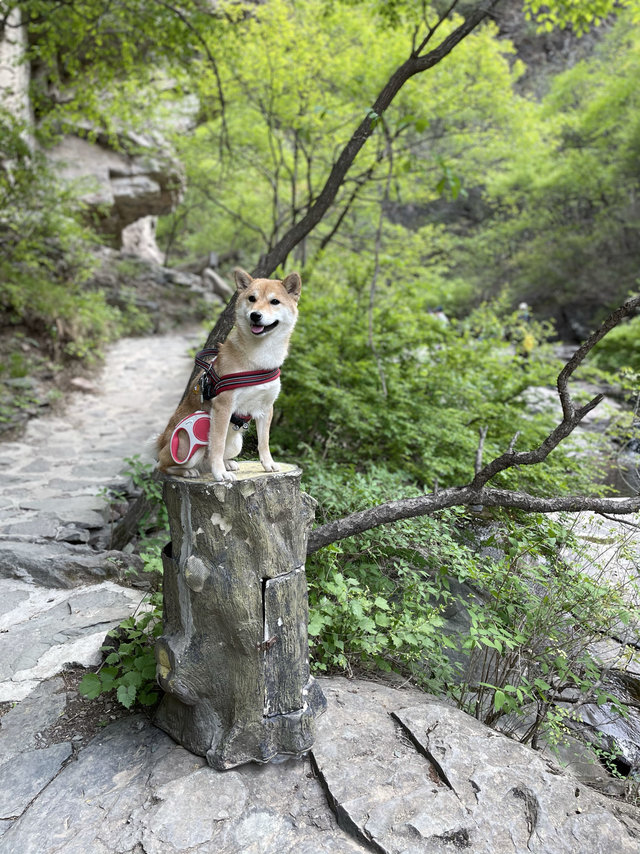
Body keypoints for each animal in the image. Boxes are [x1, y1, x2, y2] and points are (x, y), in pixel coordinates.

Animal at [157, 268, 302, 482]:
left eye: (274, 301)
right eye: (252, 298)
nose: (255, 315)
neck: (259, 359)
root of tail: (160, 444)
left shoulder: (266, 407)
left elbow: (264, 442)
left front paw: (268, 464)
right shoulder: (223, 407)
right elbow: (216, 445)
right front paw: (219, 473)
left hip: (236, 443)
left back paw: (228, 463)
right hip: (186, 440)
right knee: (164, 465)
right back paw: (189, 471)